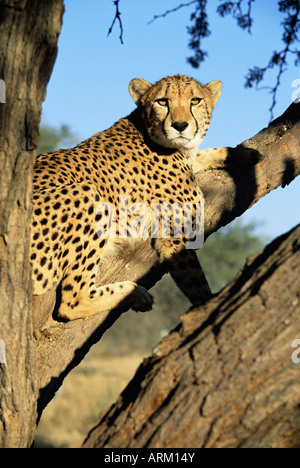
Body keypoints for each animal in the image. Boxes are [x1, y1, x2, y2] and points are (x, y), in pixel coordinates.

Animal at [31, 74, 256, 322]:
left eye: (195, 100)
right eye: (162, 102)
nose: (180, 126)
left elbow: (202, 154)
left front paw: (243, 153)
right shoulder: (173, 235)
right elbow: (196, 283)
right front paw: (209, 309)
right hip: (86, 194)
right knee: (71, 302)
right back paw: (133, 292)